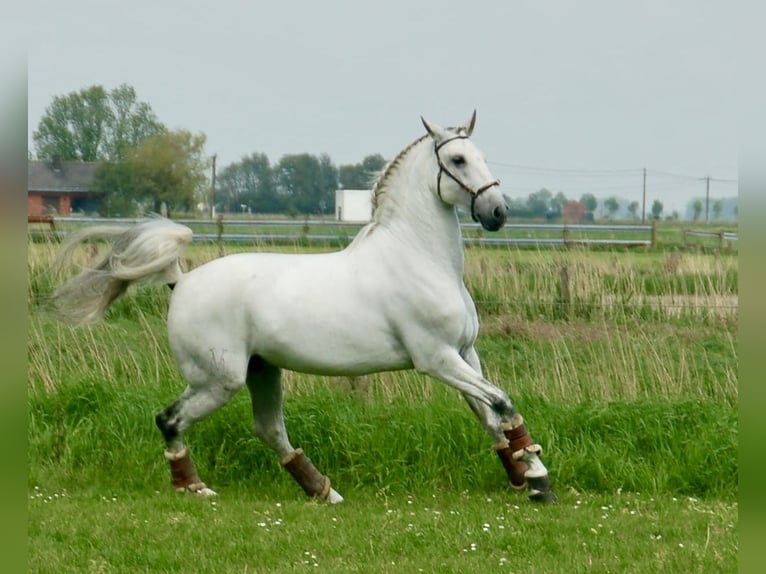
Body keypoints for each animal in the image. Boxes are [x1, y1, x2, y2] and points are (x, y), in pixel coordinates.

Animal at [52, 111, 560, 504]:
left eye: (482, 156)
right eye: (457, 159)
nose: (497, 213)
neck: (419, 258)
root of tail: (183, 280)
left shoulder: (465, 353)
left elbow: (490, 415)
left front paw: (524, 477)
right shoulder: (436, 359)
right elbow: (502, 403)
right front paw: (537, 475)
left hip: (262, 371)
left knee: (268, 429)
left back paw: (323, 492)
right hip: (219, 379)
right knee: (170, 419)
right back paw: (194, 487)